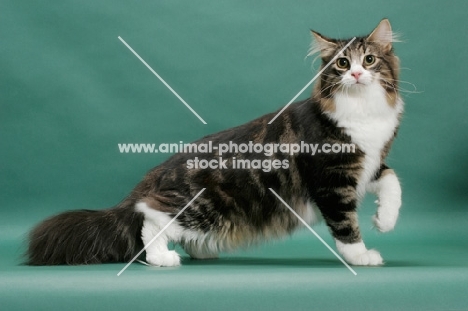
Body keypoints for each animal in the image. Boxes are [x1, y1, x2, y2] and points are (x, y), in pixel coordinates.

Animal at [27, 18, 402, 268]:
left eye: (369, 60)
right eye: (342, 63)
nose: (356, 74)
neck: (362, 111)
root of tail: (157, 172)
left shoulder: (368, 165)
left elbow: (392, 182)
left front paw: (385, 221)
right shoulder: (332, 180)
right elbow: (345, 225)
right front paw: (362, 255)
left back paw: (200, 250)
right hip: (201, 206)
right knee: (149, 215)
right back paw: (162, 258)